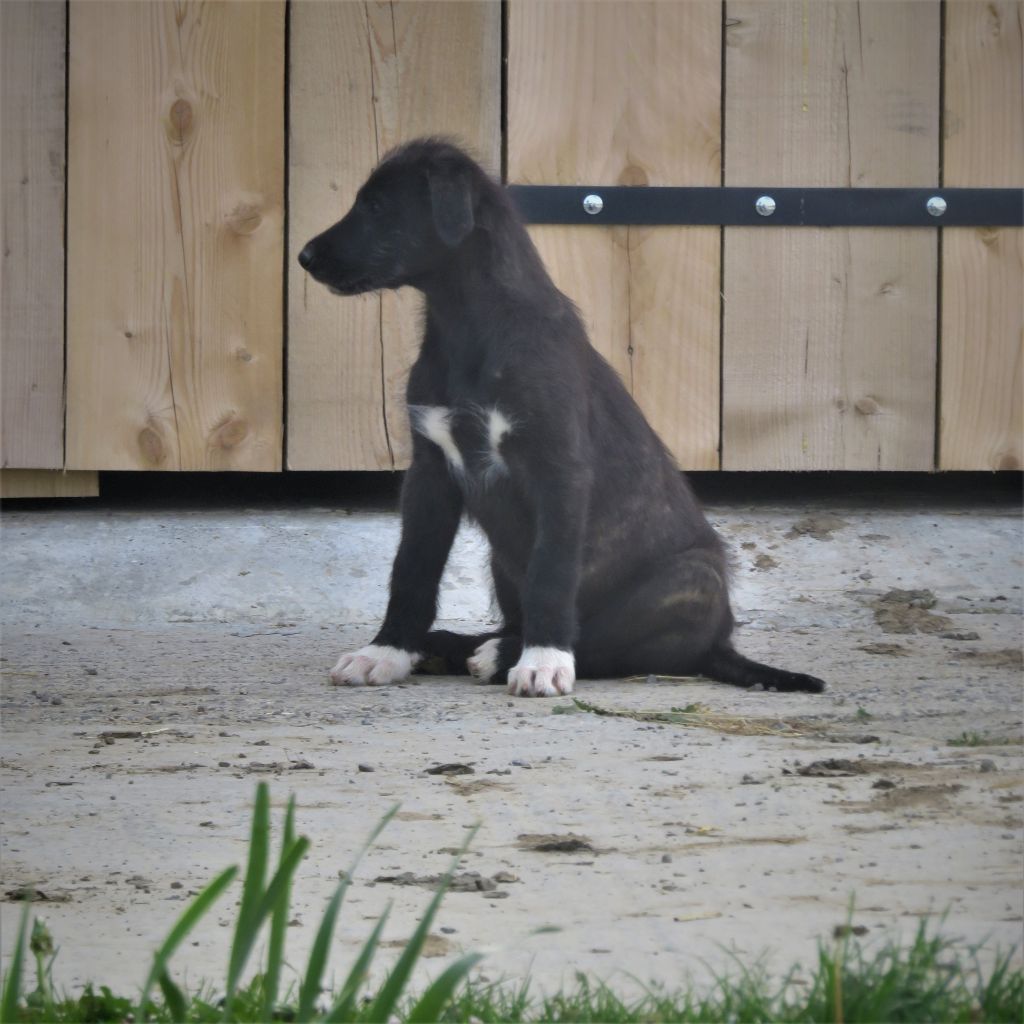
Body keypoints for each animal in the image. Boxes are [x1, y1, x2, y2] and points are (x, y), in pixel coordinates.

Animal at [298, 137, 825, 698]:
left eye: (377, 207)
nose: (304, 257)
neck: (468, 327)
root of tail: (718, 647)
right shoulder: (430, 471)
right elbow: (411, 569)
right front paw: (386, 652)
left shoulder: (559, 470)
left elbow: (550, 575)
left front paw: (543, 660)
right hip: (500, 563)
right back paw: (452, 645)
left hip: (694, 580)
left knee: (609, 644)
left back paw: (500, 654)